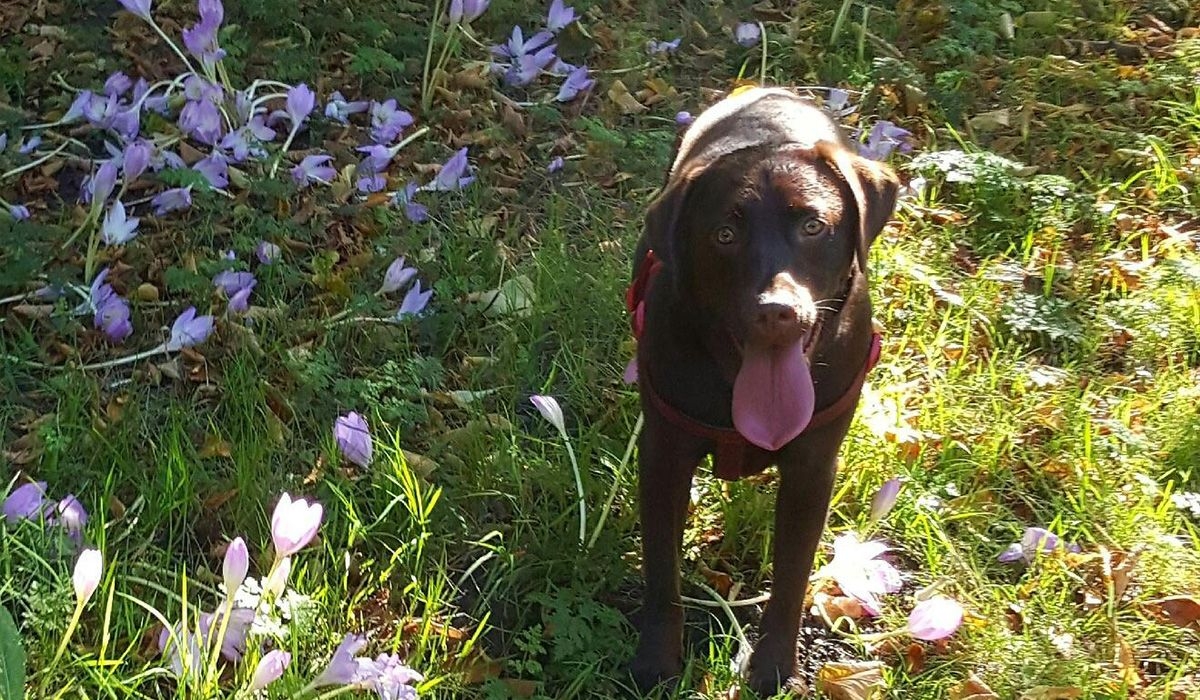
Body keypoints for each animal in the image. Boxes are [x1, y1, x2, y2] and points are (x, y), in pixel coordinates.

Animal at [628, 88, 902, 696]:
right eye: (724, 236)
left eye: (814, 226)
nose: (776, 311)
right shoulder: (663, 457)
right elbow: (661, 572)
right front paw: (656, 661)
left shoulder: (812, 469)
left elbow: (793, 576)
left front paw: (774, 665)